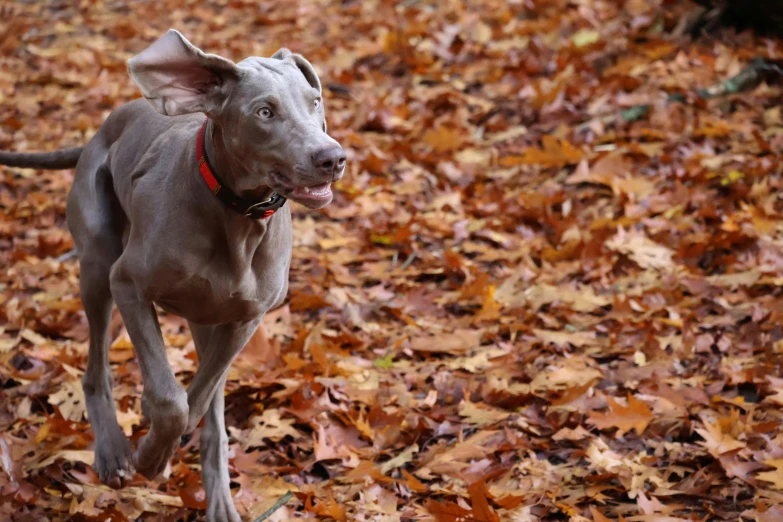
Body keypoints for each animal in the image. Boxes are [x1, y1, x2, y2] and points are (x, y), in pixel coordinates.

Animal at [0, 30, 344, 516]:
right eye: (264, 112)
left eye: (314, 101)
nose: (332, 158)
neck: (236, 216)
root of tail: (101, 131)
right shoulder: (127, 283)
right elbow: (169, 399)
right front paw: (148, 456)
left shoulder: (246, 317)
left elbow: (196, 400)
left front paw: (162, 449)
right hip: (97, 264)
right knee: (96, 369)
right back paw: (113, 452)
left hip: (207, 318)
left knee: (209, 409)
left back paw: (219, 503)